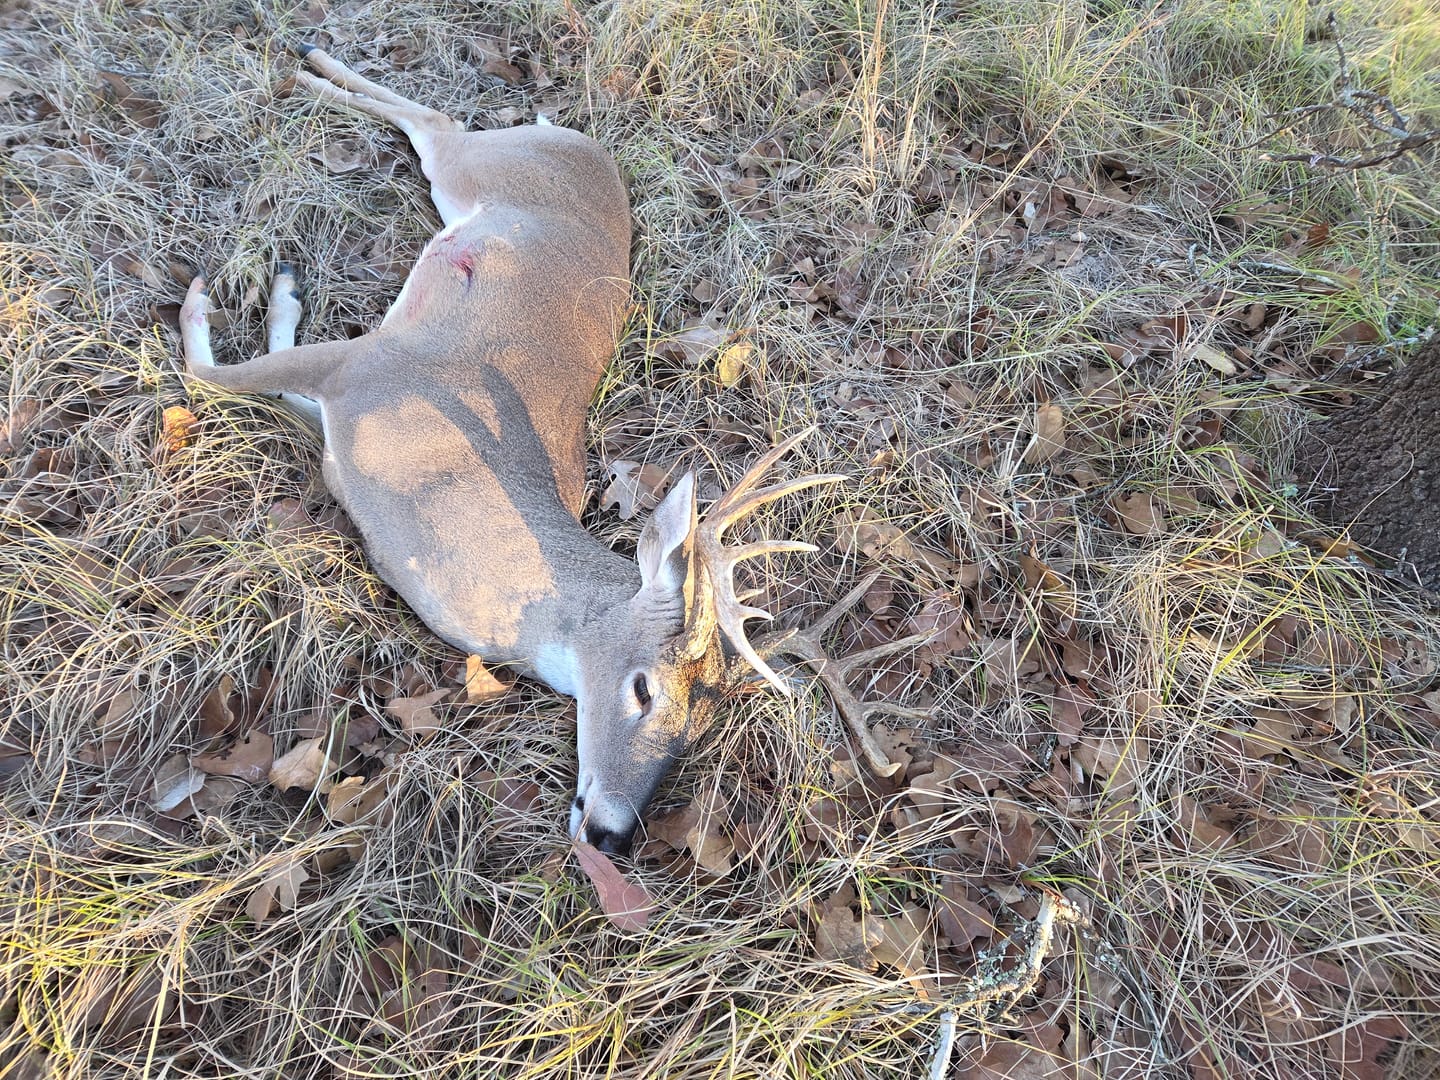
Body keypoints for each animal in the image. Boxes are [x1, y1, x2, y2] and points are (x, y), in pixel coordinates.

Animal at [178, 46, 921, 855]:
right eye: (642, 688)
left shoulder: (345, 410)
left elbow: (274, 392)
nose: (612, 834)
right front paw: (208, 299)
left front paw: (276, 295)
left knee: (436, 122)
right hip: (470, 169)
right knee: (438, 122)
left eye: (698, 728)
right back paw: (306, 70)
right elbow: (206, 373)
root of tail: (584, 146)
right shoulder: (367, 365)